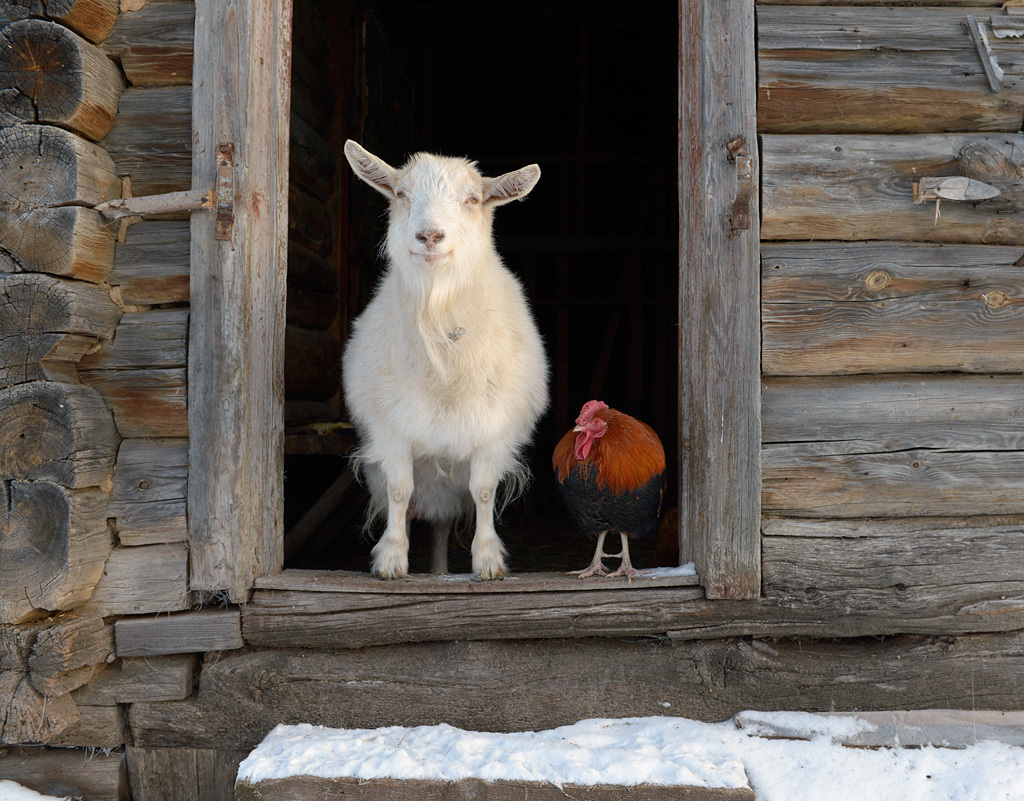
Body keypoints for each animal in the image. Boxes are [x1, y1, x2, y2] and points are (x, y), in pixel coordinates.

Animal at [342, 141, 552, 581]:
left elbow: (484, 491)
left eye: (472, 199)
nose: (429, 235)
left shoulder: (493, 431)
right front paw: (391, 559)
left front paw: (488, 561)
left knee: (440, 527)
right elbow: (399, 490)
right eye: (401, 193)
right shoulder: (391, 429)